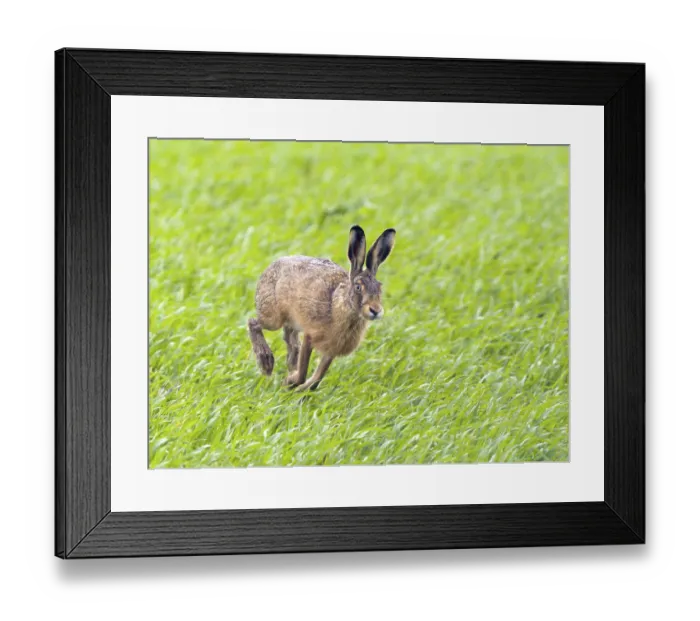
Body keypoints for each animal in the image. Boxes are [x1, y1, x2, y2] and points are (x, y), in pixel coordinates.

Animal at [248, 225, 396, 391]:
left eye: (379, 288)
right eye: (358, 287)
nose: (375, 310)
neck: (340, 305)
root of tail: (269, 268)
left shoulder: (331, 350)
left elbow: (317, 379)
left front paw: (297, 387)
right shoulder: (310, 335)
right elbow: (303, 373)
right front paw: (291, 382)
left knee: (290, 339)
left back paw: (290, 366)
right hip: (273, 317)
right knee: (253, 323)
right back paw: (266, 363)